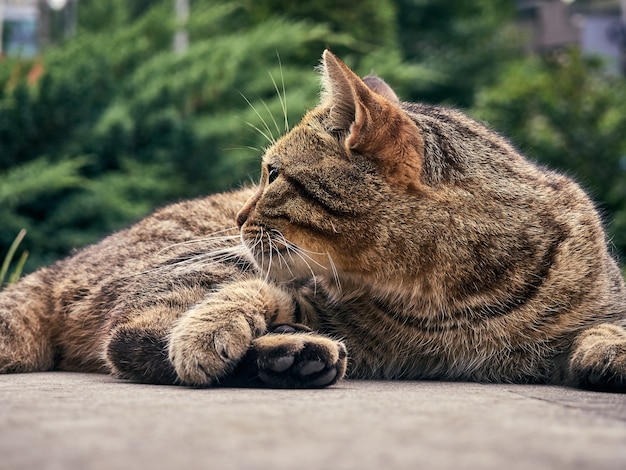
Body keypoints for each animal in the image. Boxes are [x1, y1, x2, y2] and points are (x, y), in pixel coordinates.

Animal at [1, 49, 624, 392]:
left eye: (274, 174)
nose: (239, 214)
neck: (449, 301)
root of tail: (55, 269)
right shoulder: (303, 293)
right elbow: (249, 295)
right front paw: (210, 332)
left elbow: (609, 326)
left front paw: (607, 352)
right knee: (129, 338)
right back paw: (289, 355)